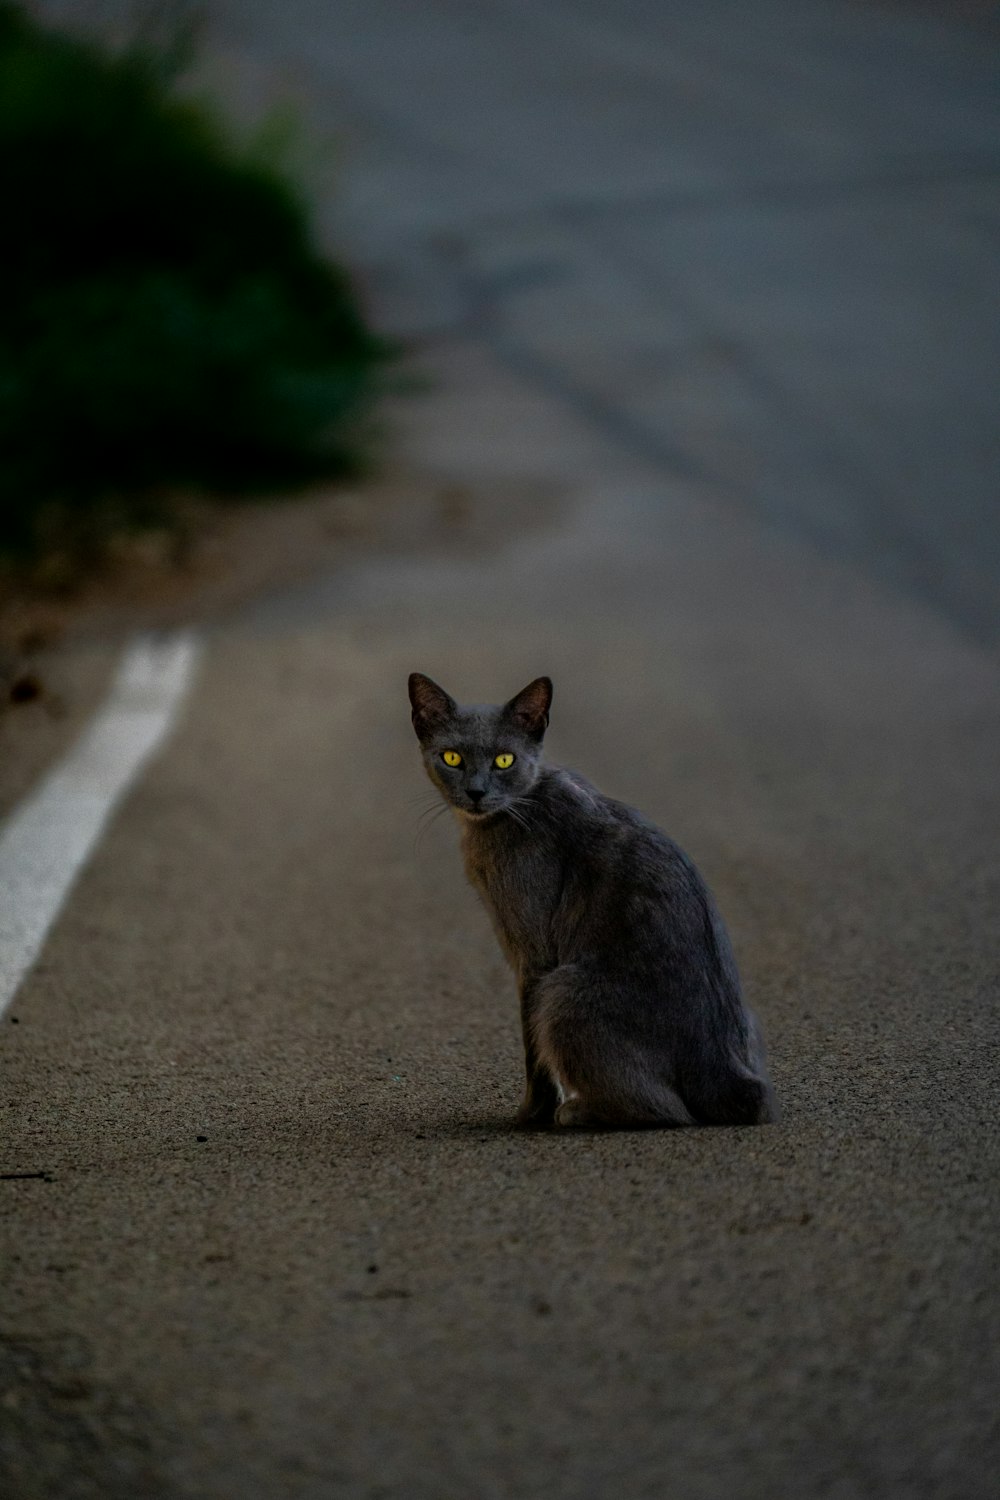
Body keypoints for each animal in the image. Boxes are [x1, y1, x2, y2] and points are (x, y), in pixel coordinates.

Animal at [407, 675, 779, 1128]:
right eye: (452, 757)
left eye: (504, 761)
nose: (476, 792)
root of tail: (727, 1072)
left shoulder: (534, 955)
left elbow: (532, 1047)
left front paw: (530, 1115)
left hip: (565, 992)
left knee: (668, 1110)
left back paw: (577, 1111)